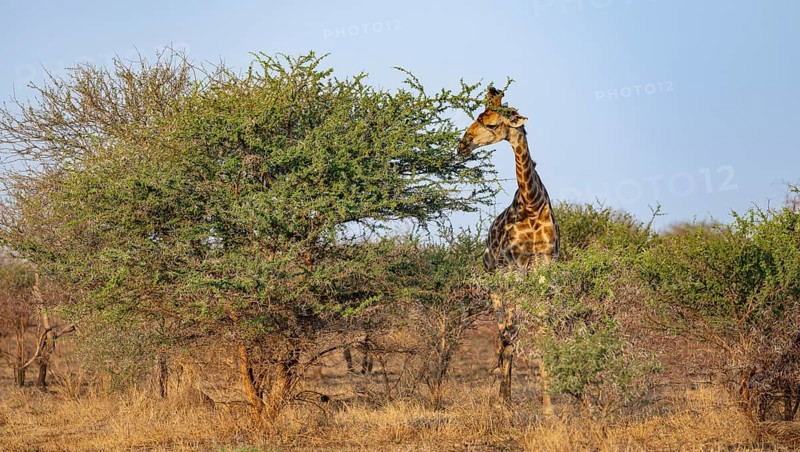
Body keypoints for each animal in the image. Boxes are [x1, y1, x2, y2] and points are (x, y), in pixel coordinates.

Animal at [457, 87, 559, 414]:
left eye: (491, 124)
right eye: (478, 117)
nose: (462, 145)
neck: (531, 204)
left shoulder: (544, 263)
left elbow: (541, 329)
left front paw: (549, 409)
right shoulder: (511, 266)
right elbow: (509, 334)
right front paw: (503, 400)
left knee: (509, 330)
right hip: (495, 282)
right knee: (502, 330)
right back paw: (501, 394)